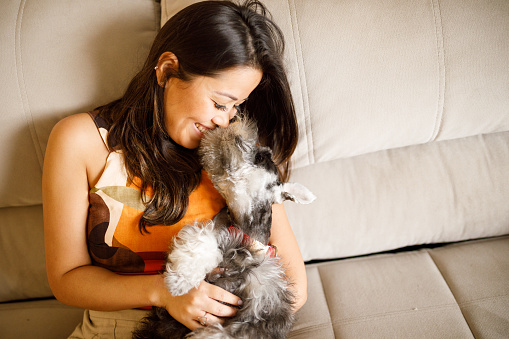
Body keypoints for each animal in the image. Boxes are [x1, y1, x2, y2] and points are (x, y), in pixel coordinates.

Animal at [132, 117, 314, 339]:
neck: (242, 232)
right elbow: (201, 240)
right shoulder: (215, 229)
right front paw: (179, 281)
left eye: (261, 157)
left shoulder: (262, 306)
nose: (231, 122)